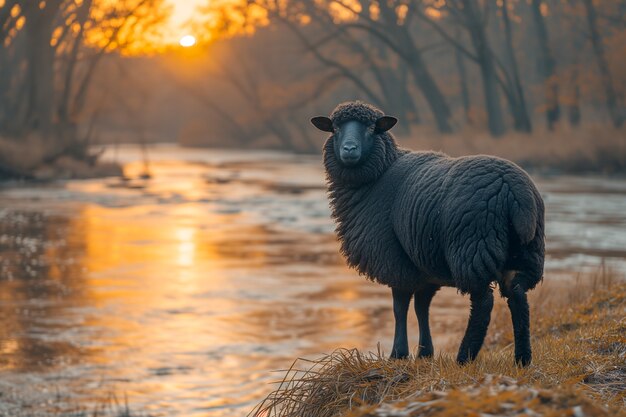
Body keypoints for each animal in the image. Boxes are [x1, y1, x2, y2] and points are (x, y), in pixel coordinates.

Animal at [310, 101, 540, 364]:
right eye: (335, 128)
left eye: (371, 128)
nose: (349, 149)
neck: (378, 176)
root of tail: (512, 191)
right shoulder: (423, 267)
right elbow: (423, 307)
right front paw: (424, 353)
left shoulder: (395, 259)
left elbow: (399, 307)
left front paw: (398, 354)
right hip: (525, 252)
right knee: (518, 296)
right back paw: (522, 359)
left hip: (473, 245)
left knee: (483, 302)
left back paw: (464, 357)